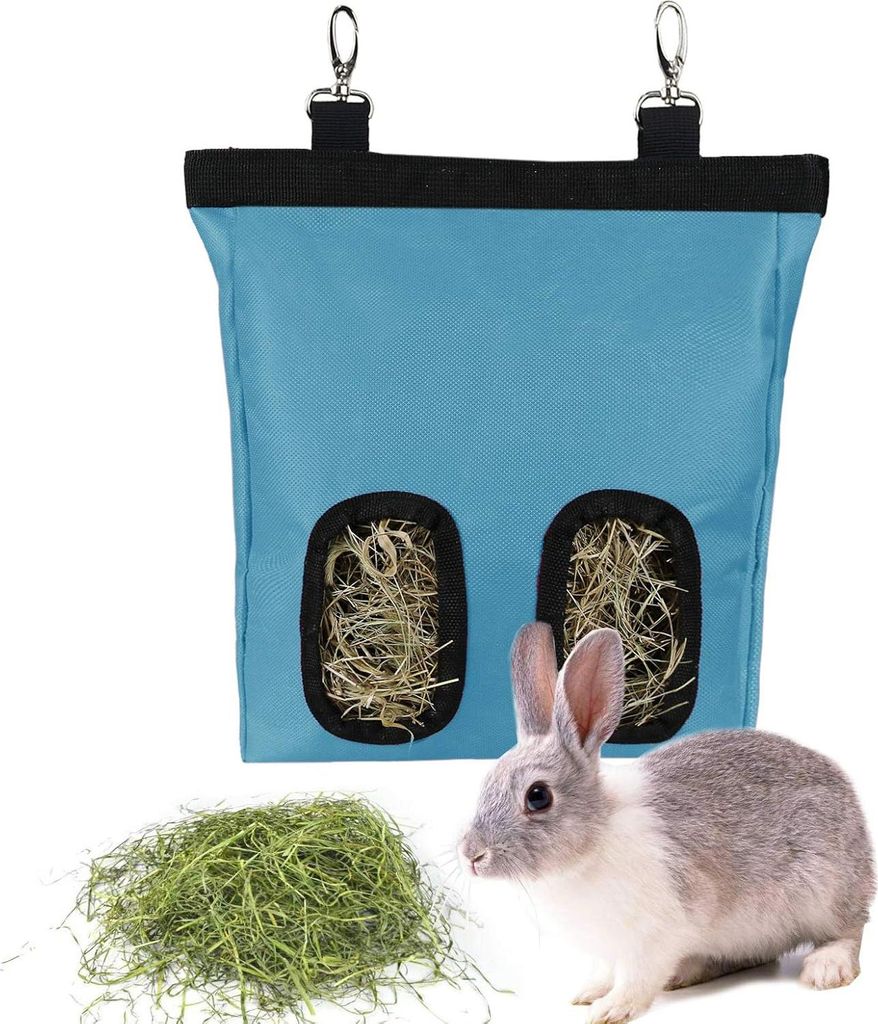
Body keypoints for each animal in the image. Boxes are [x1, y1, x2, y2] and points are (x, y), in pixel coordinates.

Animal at [458, 622, 875, 1023]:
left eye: (538, 796)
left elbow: (636, 979)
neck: (593, 842)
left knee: (850, 931)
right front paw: (587, 993)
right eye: (486, 782)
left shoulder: (652, 937)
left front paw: (611, 1010)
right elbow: (605, 971)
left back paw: (826, 969)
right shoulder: (608, 949)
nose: (471, 855)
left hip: (825, 892)